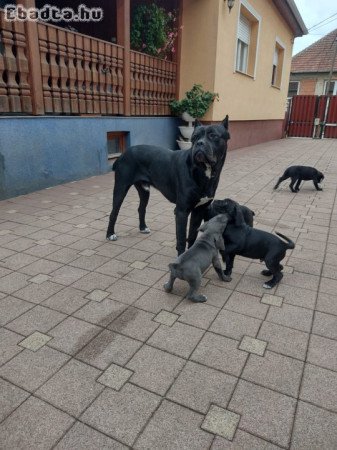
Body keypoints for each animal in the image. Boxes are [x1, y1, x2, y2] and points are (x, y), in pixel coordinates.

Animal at [106, 114, 230, 255]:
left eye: (213, 136)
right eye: (194, 137)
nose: (199, 143)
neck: (203, 171)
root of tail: (123, 154)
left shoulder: (199, 210)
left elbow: (192, 236)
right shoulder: (181, 211)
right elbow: (181, 239)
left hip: (144, 190)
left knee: (141, 208)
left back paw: (143, 227)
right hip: (121, 188)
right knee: (114, 212)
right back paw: (110, 234)